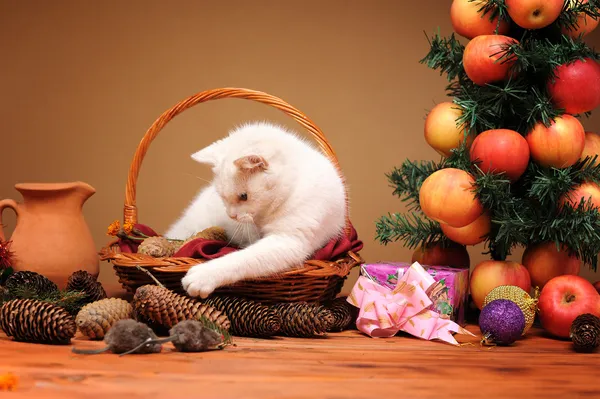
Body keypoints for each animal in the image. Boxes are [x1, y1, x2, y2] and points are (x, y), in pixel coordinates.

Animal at [166, 120, 350, 298]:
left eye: (243, 196)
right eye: (222, 196)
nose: (231, 215)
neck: (294, 185)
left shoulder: (288, 241)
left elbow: (244, 258)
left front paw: (204, 275)